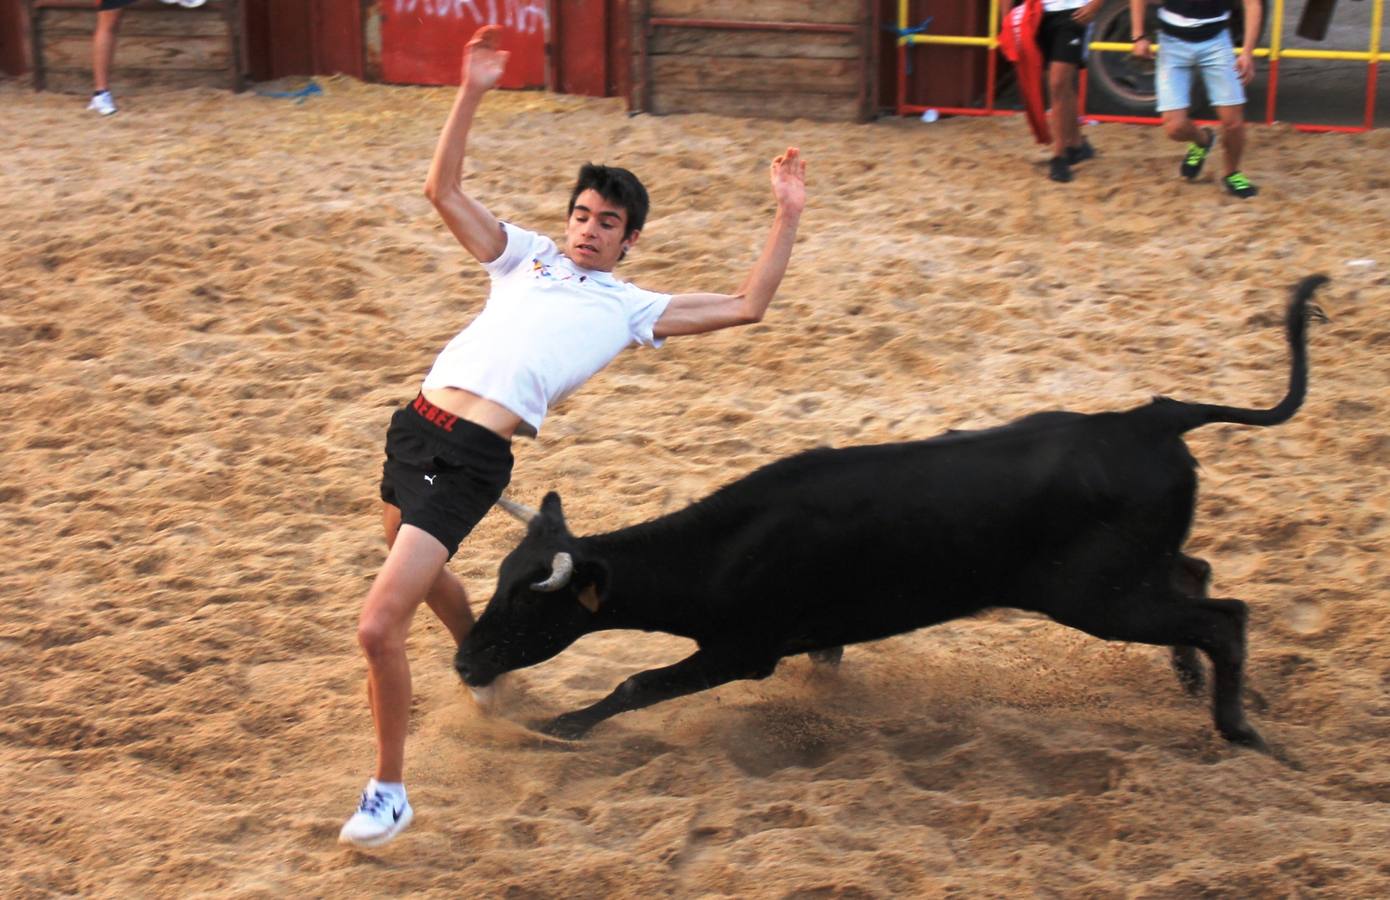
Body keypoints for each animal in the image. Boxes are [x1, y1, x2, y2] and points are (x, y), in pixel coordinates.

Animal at [453, 274, 1323, 745]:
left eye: (528, 608)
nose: (464, 663)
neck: (729, 547)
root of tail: (1152, 418)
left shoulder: (742, 648)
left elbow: (637, 682)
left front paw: (559, 728)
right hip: (1131, 577)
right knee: (1198, 573)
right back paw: (1191, 680)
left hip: (1100, 597)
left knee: (1224, 616)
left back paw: (1237, 726)